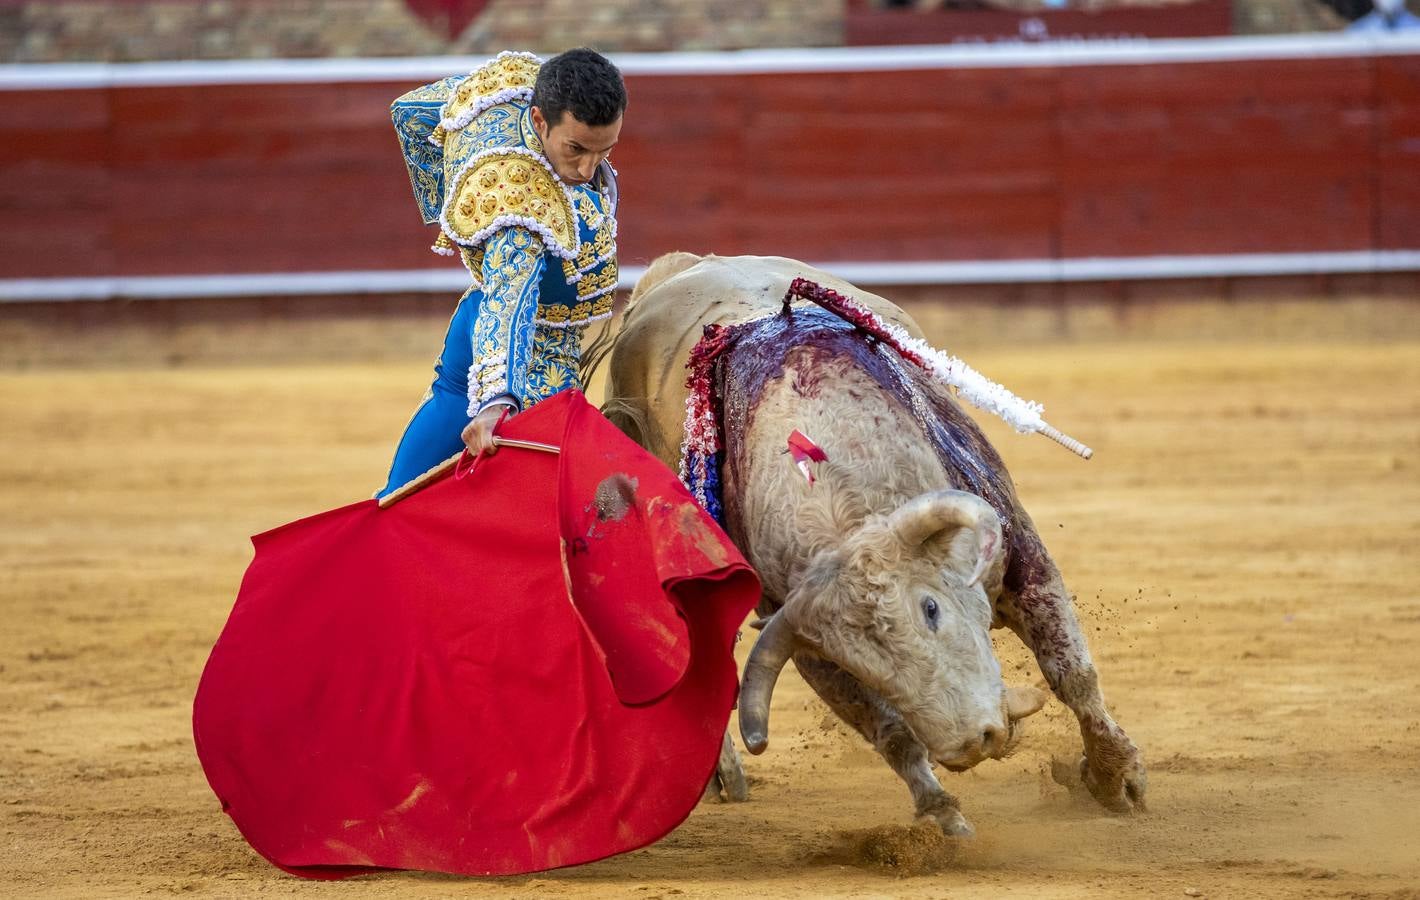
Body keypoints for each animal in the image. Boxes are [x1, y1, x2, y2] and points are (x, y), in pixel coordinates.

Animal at [599, 252, 1141, 834]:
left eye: (931, 608)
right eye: (861, 666)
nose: (974, 743)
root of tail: (686, 265)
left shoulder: (1020, 552)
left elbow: (1071, 671)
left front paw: (1115, 777)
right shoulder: (799, 635)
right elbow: (891, 733)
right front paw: (942, 816)